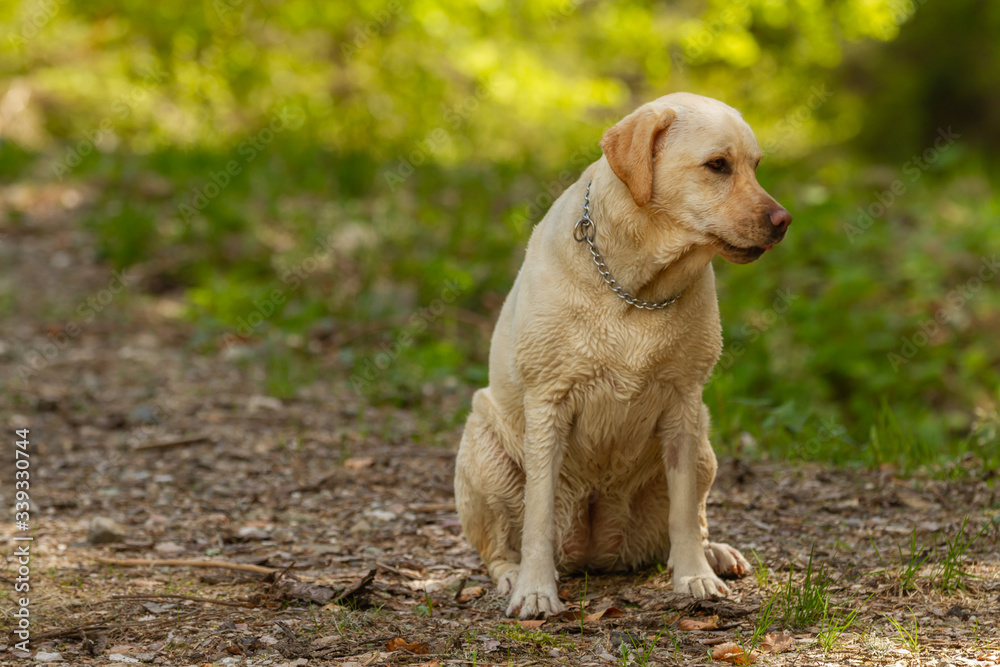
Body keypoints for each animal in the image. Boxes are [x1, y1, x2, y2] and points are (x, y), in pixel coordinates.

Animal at [454, 91, 788, 620]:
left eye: (755, 167)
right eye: (718, 165)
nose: (783, 222)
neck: (639, 287)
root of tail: (595, 552)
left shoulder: (684, 403)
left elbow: (682, 512)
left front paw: (694, 577)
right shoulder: (547, 403)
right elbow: (537, 514)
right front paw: (535, 590)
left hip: (705, 446)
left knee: (692, 517)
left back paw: (712, 554)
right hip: (482, 448)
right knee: (499, 544)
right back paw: (510, 575)